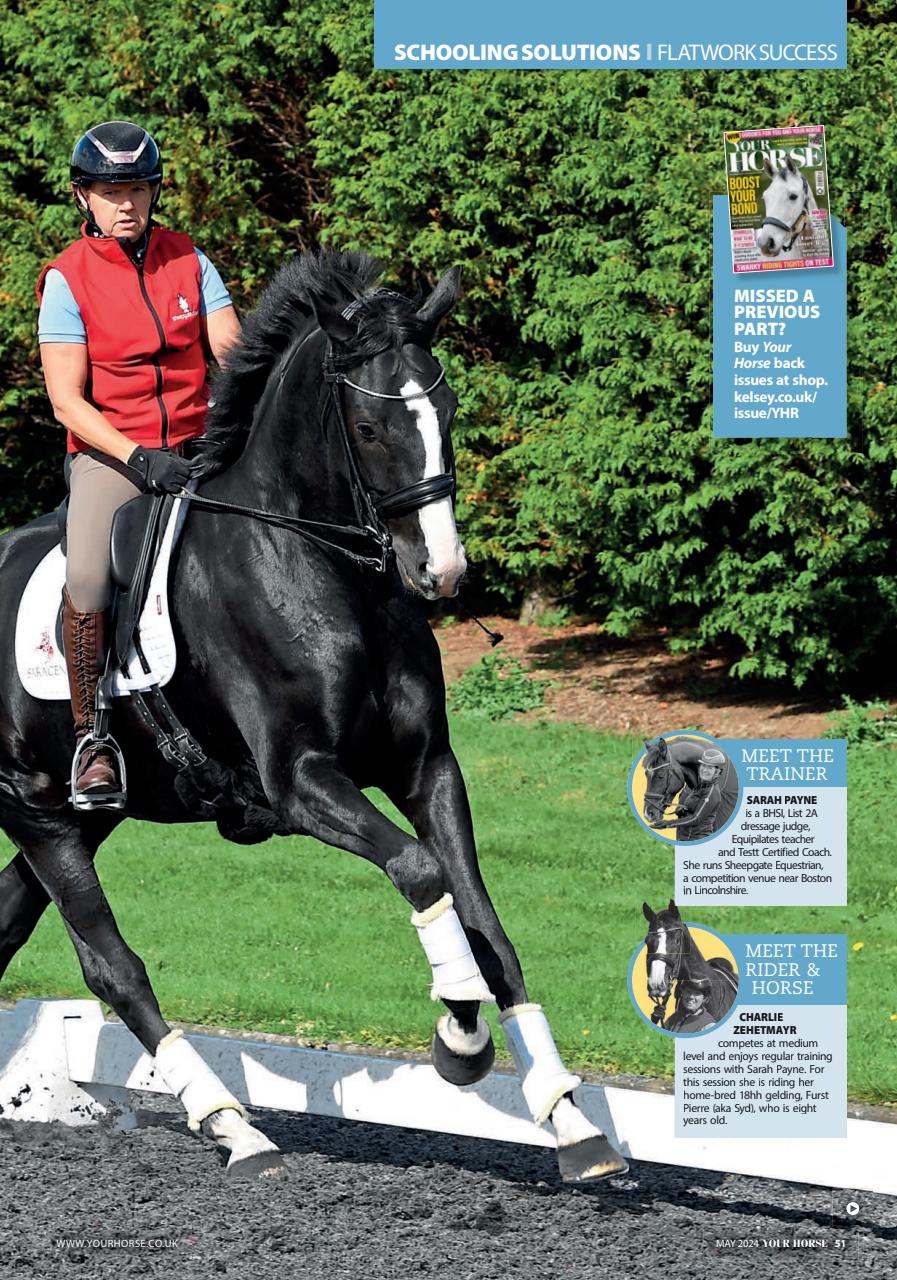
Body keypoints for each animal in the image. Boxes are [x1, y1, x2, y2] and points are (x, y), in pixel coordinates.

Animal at [0, 250, 627, 1183]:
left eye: (447, 412)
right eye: (368, 430)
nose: (441, 573)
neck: (316, 563)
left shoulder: (425, 768)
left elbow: (486, 924)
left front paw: (568, 1117)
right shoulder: (299, 783)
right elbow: (422, 874)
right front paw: (459, 1036)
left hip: (79, 816)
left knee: (13, 922)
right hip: (37, 806)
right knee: (112, 966)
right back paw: (234, 1128)